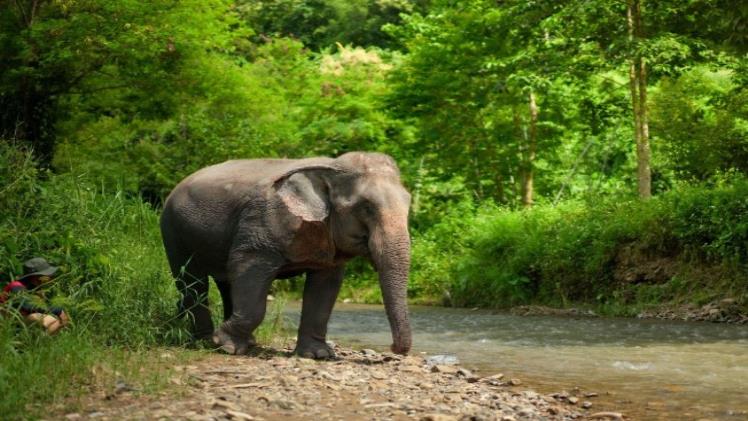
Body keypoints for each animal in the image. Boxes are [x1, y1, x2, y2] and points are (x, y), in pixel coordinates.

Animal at [160, 151, 412, 358]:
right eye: (366, 207)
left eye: (409, 203)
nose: (393, 348)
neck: (330, 167)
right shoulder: (261, 226)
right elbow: (247, 270)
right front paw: (226, 346)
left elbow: (325, 287)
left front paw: (317, 355)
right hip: (173, 231)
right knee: (193, 282)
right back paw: (204, 342)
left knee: (224, 283)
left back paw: (243, 342)